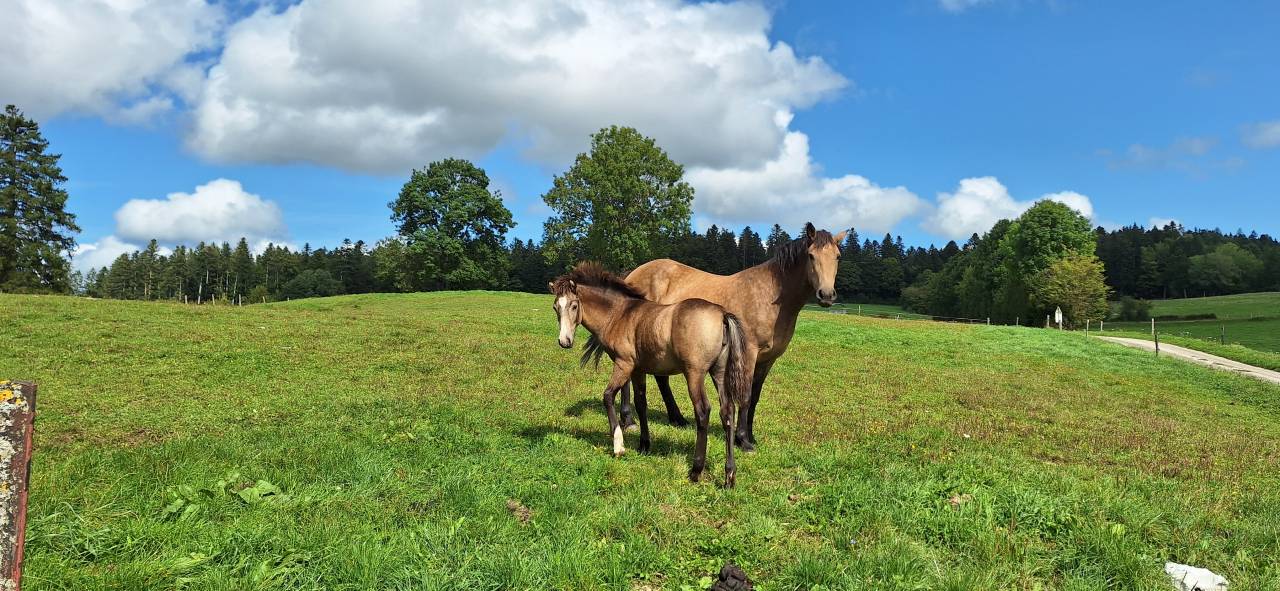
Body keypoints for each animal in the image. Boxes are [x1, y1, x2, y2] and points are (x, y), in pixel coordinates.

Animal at [549, 262, 751, 487]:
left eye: (574, 306)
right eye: (556, 307)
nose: (564, 341)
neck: (620, 314)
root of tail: (722, 314)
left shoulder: (624, 364)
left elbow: (608, 396)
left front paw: (619, 445)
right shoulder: (638, 370)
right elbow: (640, 404)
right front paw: (644, 445)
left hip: (694, 373)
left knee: (703, 412)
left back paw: (696, 470)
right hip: (719, 372)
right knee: (727, 412)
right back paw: (729, 475)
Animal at [608, 222, 846, 450]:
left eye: (837, 256)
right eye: (811, 255)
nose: (826, 295)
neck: (771, 297)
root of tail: (633, 274)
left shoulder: (768, 360)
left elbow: (755, 397)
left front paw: (750, 436)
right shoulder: (748, 353)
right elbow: (745, 396)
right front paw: (743, 439)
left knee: (661, 378)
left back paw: (677, 418)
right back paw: (629, 420)